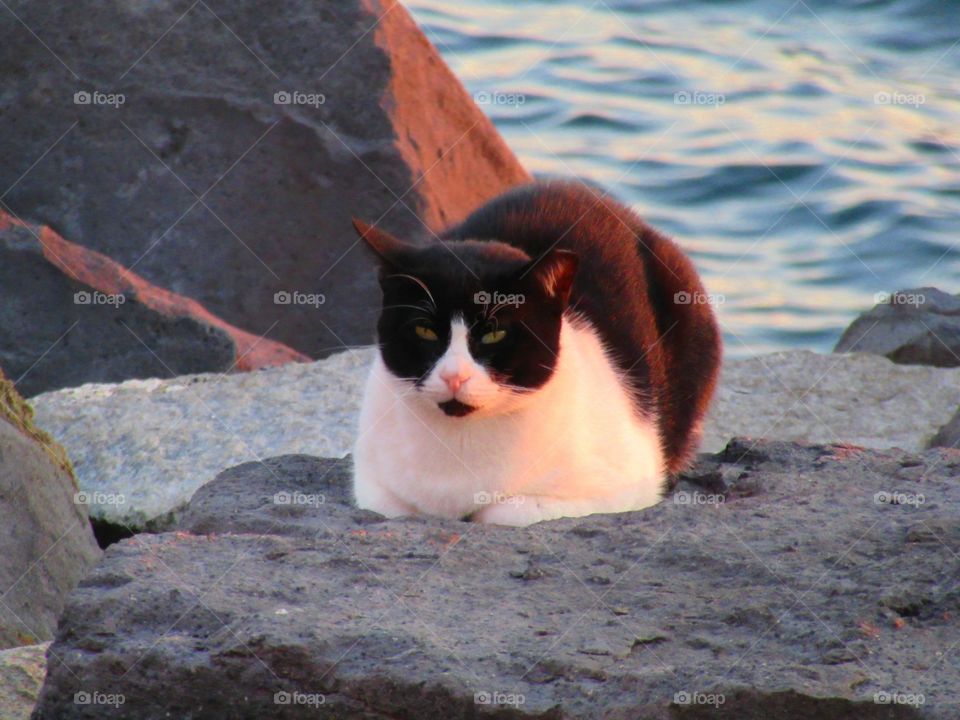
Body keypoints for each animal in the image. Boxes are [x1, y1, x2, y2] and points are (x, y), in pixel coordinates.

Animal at [352, 181, 720, 524]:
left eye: (494, 334)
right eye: (424, 330)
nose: (454, 376)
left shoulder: (625, 484)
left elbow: (502, 512)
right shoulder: (371, 485)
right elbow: (395, 506)